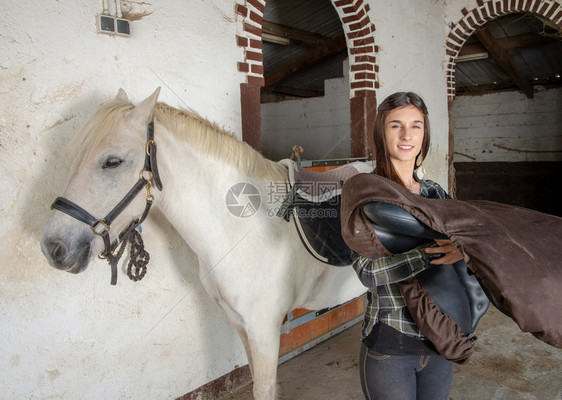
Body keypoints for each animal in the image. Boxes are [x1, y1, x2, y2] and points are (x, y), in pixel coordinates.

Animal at [39, 89, 364, 398]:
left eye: (112, 161)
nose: (53, 248)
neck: (245, 227)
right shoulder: (239, 322)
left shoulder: (264, 328)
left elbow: (263, 388)